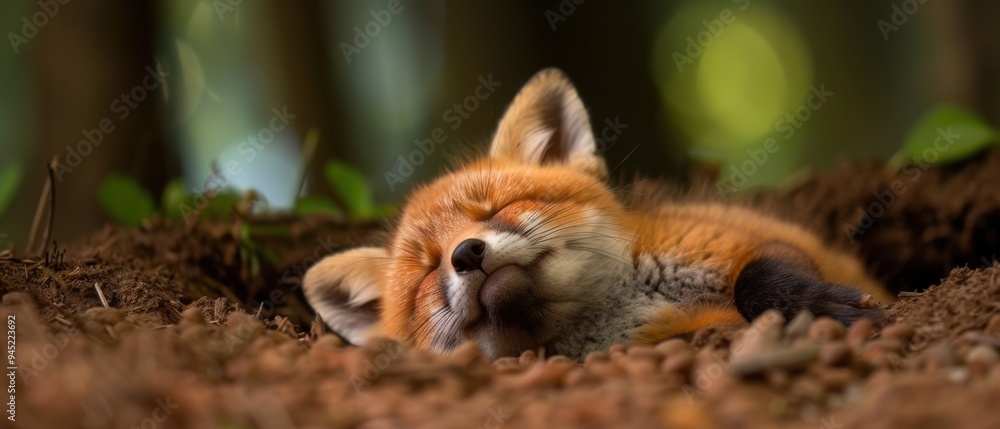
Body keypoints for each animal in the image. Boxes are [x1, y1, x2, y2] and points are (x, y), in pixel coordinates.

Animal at [303, 68, 892, 360]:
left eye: (499, 208)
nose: (466, 253)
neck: (627, 309)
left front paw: (822, 307)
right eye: (427, 272)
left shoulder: (736, 240)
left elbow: (759, 280)